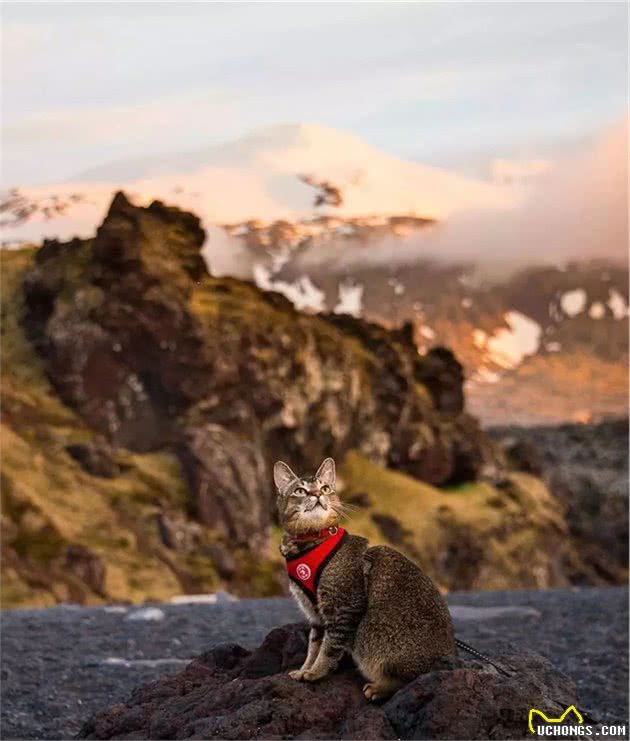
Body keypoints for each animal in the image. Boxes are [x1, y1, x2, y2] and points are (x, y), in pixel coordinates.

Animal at [274, 454, 456, 704]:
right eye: (300, 490)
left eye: (325, 487)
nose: (318, 494)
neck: (309, 542)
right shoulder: (315, 614)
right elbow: (313, 646)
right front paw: (304, 669)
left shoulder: (343, 607)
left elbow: (329, 647)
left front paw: (316, 673)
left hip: (368, 629)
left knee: (410, 678)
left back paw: (378, 688)